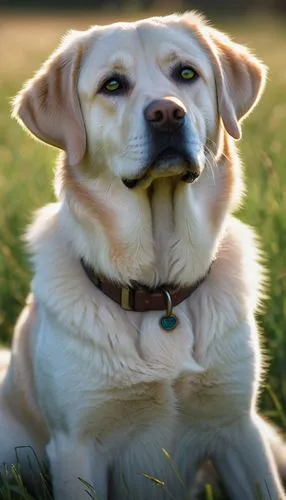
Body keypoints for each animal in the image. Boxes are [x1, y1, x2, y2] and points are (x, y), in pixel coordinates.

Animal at [0, 11, 286, 500]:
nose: (167, 113)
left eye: (186, 73)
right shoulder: (78, 446)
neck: (159, 291)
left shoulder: (239, 429)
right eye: (112, 85)